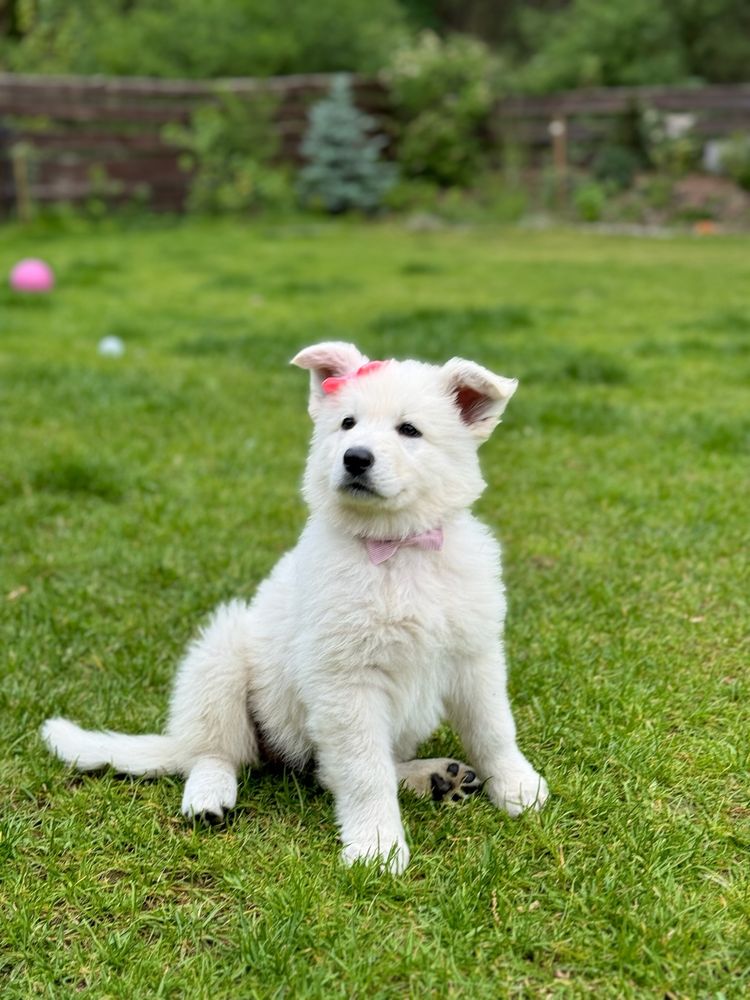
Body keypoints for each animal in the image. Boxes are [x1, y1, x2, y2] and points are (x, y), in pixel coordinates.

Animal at [42, 346, 548, 876]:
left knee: (325, 771)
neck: (396, 549)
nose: (355, 457)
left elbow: (493, 728)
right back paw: (209, 795)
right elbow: (364, 773)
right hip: (221, 656)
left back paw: (433, 777)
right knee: (219, 752)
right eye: (347, 423)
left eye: (409, 430)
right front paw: (377, 847)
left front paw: (516, 785)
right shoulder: (345, 682)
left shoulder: (474, 655)